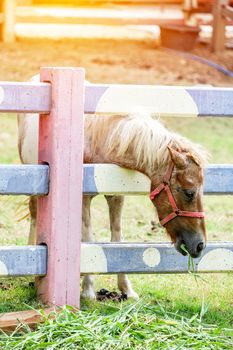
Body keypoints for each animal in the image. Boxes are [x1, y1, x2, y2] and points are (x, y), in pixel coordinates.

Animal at [18, 78, 208, 300]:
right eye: (189, 192)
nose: (200, 245)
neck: (99, 139)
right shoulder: (84, 198)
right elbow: (89, 240)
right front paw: (88, 289)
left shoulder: (116, 195)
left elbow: (117, 239)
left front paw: (126, 289)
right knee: (34, 214)